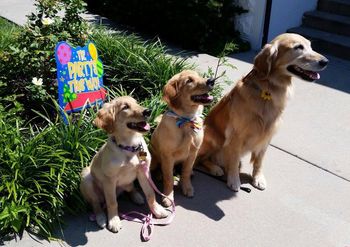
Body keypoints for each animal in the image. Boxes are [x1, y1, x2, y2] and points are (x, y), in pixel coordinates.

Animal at [80, 96, 167, 232]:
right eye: (125, 107)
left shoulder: (144, 171)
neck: (129, 147)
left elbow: (150, 193)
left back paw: (137, 196)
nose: (148, 111)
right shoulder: (109, 179)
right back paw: (101, 218)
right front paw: (114, 221)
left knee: (131, 189)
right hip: (86, 178)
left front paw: (157, 210)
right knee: (96, 204)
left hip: (128, 182)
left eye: (137, 103)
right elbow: (112, 203)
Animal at [151, 70, 216, 206]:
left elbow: (185, 172)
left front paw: (187, 187)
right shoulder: (167, 156)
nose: (212, 80)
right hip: (154, 159)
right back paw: (159, 175)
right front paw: (168, 196)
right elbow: (169, 178)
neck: (186, 120)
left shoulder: (193, 153)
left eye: (199, 76)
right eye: (189, 81)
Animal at [197, 32, 328, 191]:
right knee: (200, 159)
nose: (325, 62)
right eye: (298, 47)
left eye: (310, 46)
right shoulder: (236, 135)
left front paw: (258, 178)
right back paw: (216, 168)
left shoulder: (266, 136)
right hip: (211, 135)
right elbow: (233, 160)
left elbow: (259, 161)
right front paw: (234, 180)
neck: (267, 91)